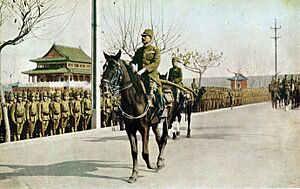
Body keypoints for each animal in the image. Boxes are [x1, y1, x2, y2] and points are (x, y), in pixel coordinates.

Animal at [99, 50, 175, 183]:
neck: (135, 98)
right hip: (155, 124)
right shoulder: (130, 129)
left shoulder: (144, 128)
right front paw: (134, 174)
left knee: (164, 138)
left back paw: (160, 161)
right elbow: (134, 151)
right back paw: (160, 160)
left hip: (168, 120)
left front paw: (151, 165)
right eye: (104, 67)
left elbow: (144, 152)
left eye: (113, 67)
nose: (103, 87)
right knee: (159, 139)